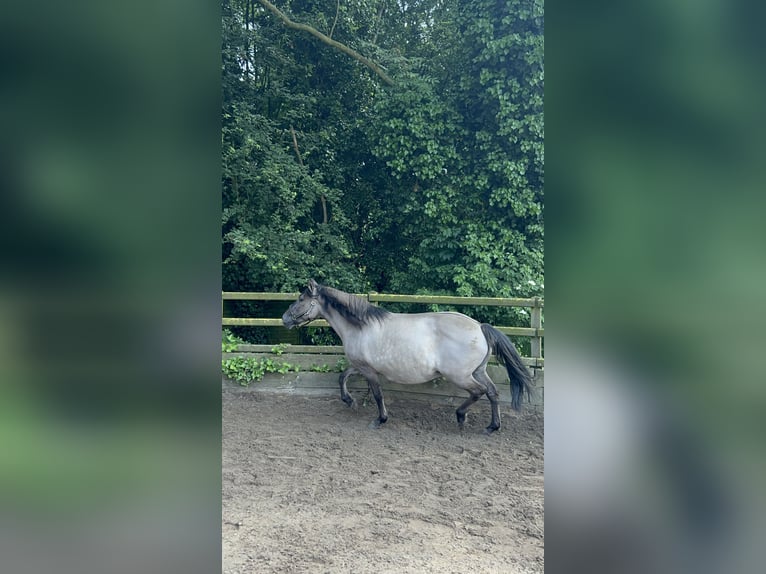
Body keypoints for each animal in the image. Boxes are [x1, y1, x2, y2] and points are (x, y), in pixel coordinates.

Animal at [282, 280, 536, 436]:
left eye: (301, 299)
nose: (284, 318)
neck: (361, 327)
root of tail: (479, 327)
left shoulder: (369, 371)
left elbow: (377, 394)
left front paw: (379, 420)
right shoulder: (360, 366)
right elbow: (342, 377)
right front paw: (350, 401)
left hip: (461, 376)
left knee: (479, 392)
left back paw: (461, 417)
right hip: (478, 371)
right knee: (492, 392)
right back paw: (492, 427)